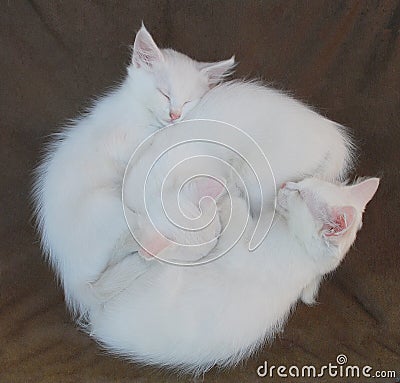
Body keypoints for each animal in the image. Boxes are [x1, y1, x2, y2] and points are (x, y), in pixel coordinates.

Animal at [33, 25, 234, 316]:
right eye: (164, 94)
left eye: (187, 102)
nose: (174, 115)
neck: (143, 114)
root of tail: (73, 281)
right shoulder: (124, 144)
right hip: (111, 211)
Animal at [89, 177, 380, 376]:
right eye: (302, 183)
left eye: (299, 193)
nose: (286, 184)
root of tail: (101, 324)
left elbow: (237, 211)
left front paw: (225, 197)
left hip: (165, 270)